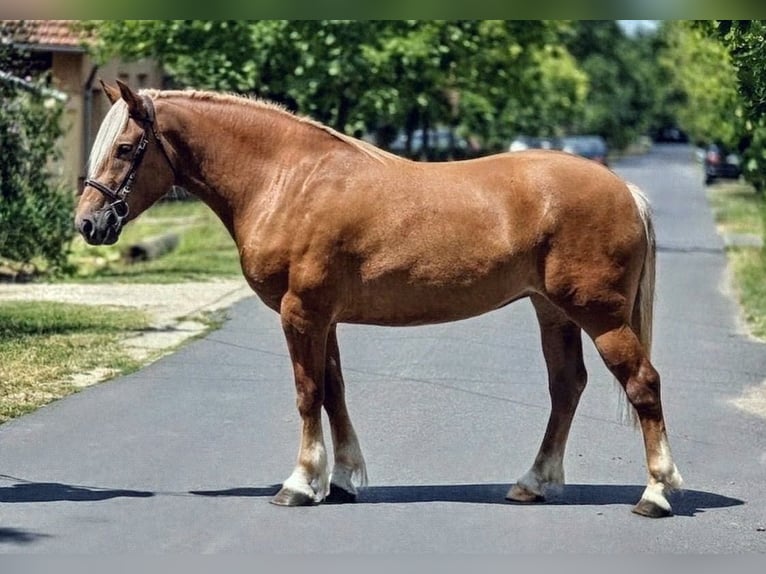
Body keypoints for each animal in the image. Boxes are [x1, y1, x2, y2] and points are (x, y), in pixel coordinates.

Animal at [75, 80, 683, 517]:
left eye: (125, 148)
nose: (87, 223)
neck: (288, 180)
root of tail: (623, 189)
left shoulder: (302, 314)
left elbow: (307, 395)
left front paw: (300, 484)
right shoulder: (324, 318)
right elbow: (334, 393)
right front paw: (342, 479)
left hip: (601, 318)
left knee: (643, 384)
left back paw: (655, 493)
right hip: (552, 311)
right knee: (566, 387)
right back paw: (533, 483)